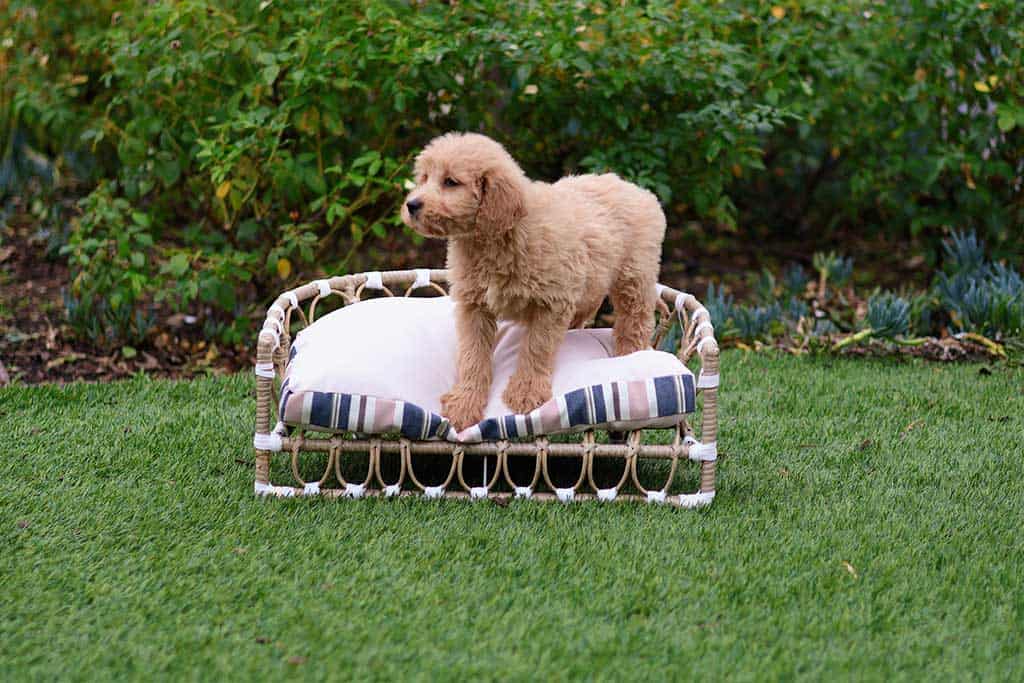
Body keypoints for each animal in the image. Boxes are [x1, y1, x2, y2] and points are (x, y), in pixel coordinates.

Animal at [403, 133, 667, 430]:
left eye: (450, 182)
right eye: (424, 178)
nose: (411, 205)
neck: (495, 239)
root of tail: (638, 190)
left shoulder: (551, 304)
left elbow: (536, 348)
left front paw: (526, 391)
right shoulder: (474, 306)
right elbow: (473, 355)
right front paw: (465, 401)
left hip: (634, 276)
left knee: (637, 319)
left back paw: (630, 354)